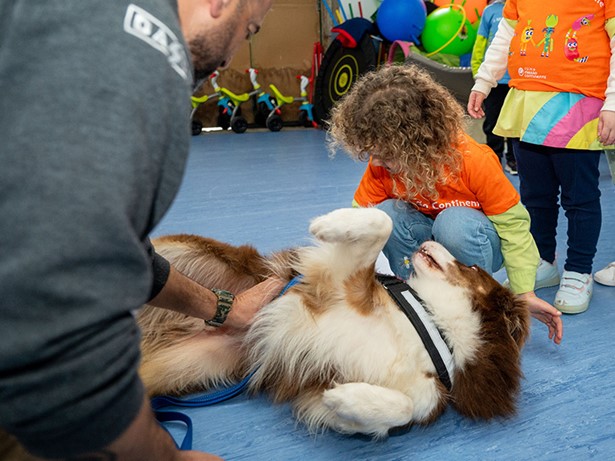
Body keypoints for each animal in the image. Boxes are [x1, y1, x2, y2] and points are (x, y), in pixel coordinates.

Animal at [137, 207, 532, 436]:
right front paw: (330, 223)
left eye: (472, 266)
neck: (432, 323)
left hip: (179, 365)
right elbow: (381, 222)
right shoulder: (334, 281)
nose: (430, 237)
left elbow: (400, 410)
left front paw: (347, 401)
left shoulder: (423, 397)